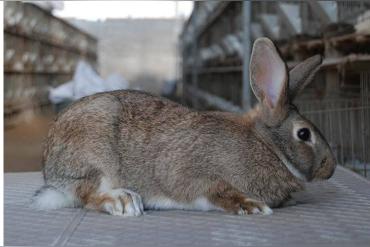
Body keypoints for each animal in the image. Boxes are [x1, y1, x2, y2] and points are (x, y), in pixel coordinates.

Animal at [31, 37, 336, 216]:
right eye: (304, 134)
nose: (331, 169)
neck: (267, 147)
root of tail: (51, 173)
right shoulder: (196, 175)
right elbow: (216, 191)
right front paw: (251, 205)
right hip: (94, 157)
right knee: (87, 194)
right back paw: (124, 201)